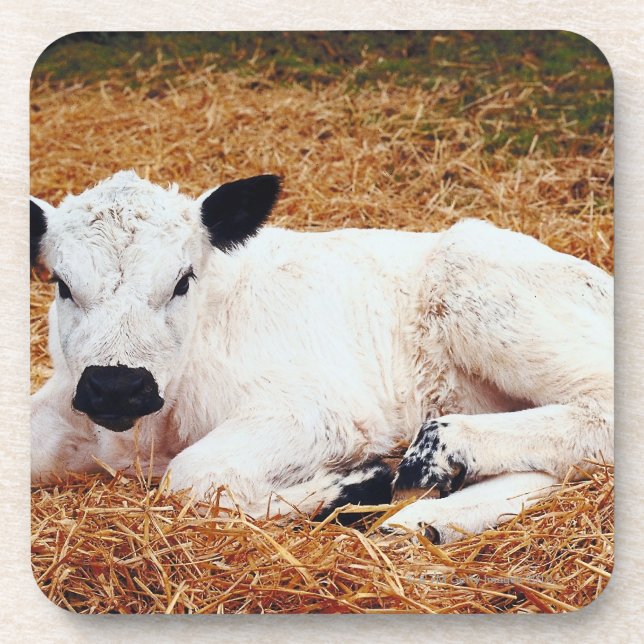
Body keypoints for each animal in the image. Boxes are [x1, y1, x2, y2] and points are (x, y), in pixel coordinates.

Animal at [30, 170, 613, 544]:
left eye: (182, 280)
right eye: (62, 284)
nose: (116, 385)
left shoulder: (319, 413)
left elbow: (192, 475)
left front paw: (355, 486)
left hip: (479, 291)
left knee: (600, 412)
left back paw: (439, 453)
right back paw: (428, 519)